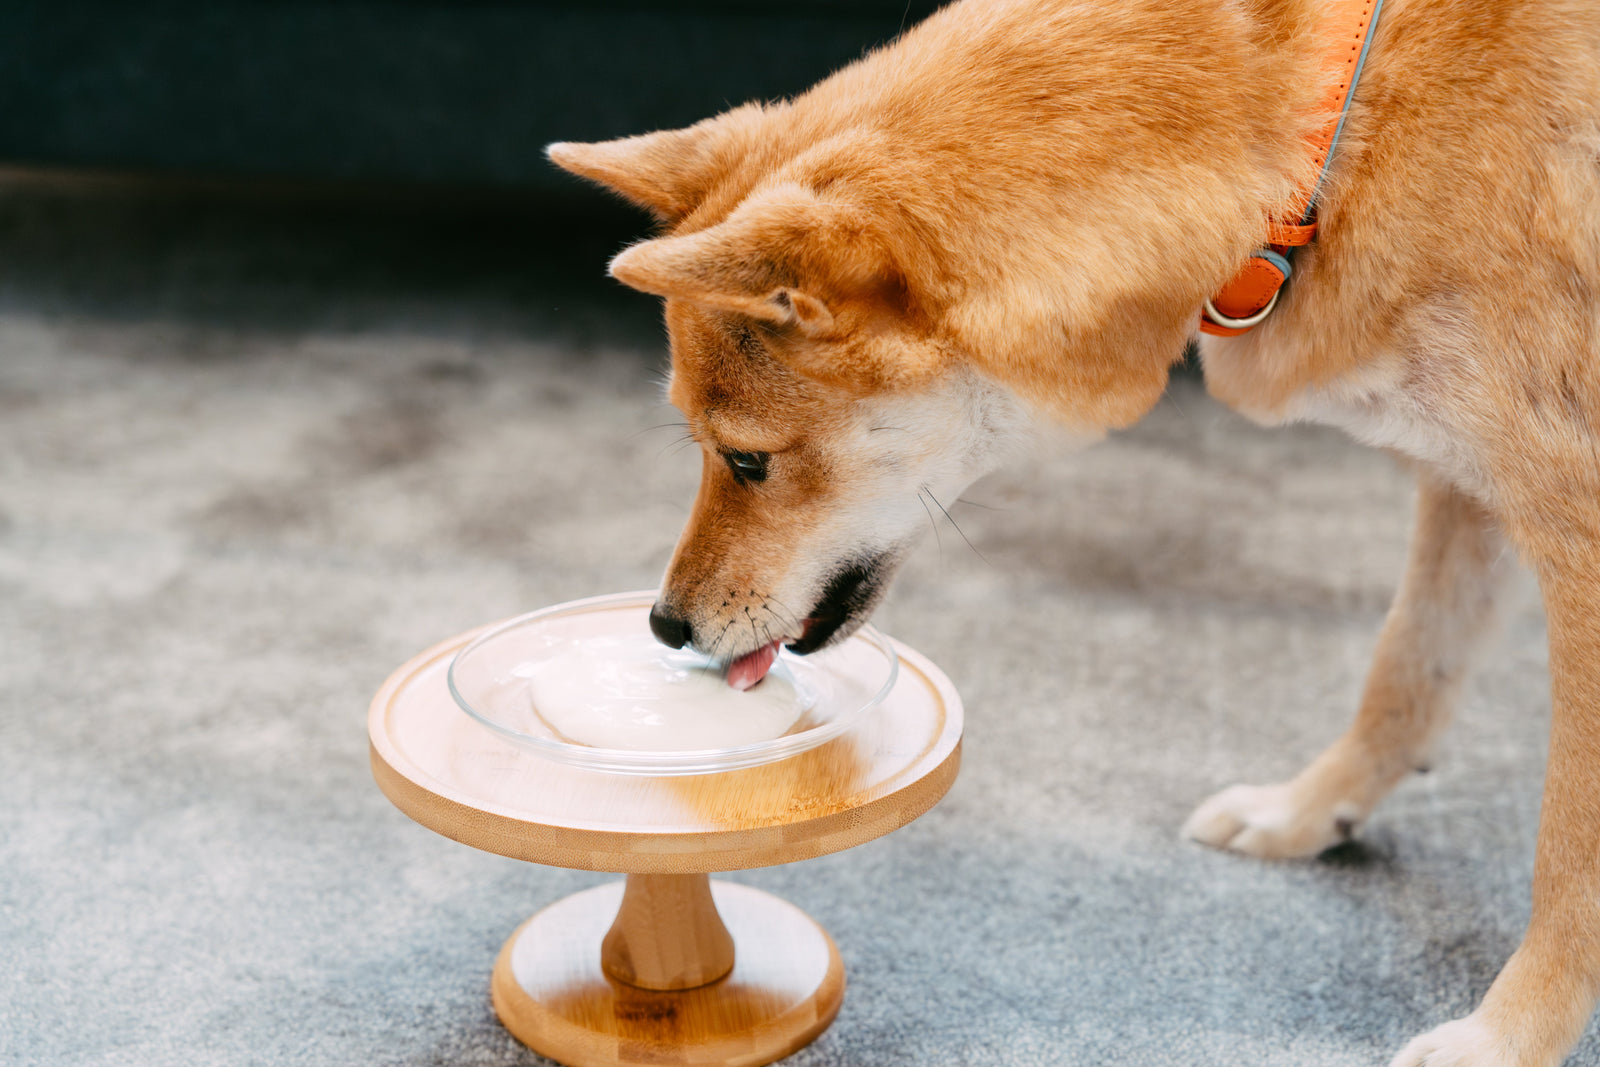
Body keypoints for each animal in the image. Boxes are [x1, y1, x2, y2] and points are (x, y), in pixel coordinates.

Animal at [547, 4, 1600, 1062]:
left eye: (746, 459)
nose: (665, 626)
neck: (1320, 129)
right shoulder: (1467, 479)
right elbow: (1404, 672)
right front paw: (1306, 809)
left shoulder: (1568, 528)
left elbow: (1567, 849)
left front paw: (1509, 1036)